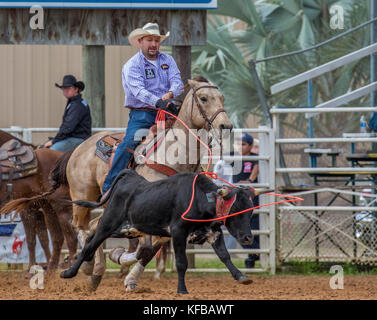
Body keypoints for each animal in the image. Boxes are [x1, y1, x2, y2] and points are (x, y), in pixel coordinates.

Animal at [0, 132, 77, 272]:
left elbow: (32, 240)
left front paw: (32, 267)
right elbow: (43, 239)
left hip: (62, 208)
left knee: (71, 237)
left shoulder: (27, 211)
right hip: (51, 209)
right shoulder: (38, 212)